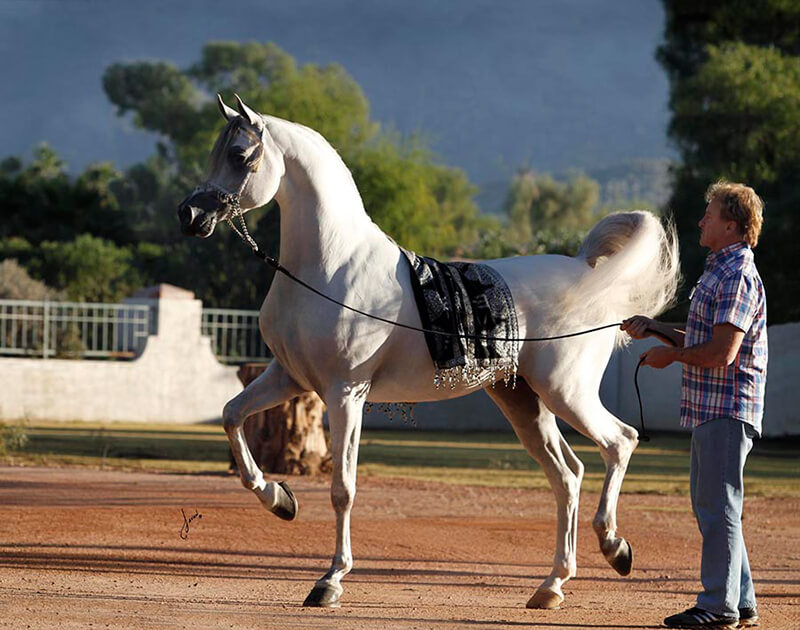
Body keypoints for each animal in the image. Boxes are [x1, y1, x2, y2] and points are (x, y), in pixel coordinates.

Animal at [178, 95, 680, 612]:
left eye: (240, 155)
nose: (189, 215)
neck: (329, 267)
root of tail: (585, 274)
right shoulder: (289, 378)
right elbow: (232, 417)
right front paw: (279, 499)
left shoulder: (345, 393)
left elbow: (343, 488)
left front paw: (330, 581)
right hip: (524, 402)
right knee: (568, 475)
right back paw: (552, 585)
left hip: (567, 392)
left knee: (620, 441)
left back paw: (615, 547)